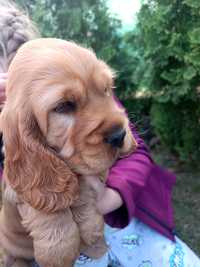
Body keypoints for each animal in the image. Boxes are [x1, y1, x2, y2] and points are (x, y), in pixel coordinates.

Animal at [0, 38, 136, 267]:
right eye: (64, 106)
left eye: (106, 89)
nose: (119, 135)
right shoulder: (22, 185)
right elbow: (49, 208)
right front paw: (59, 253)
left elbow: (82, 190)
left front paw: (93, 233)